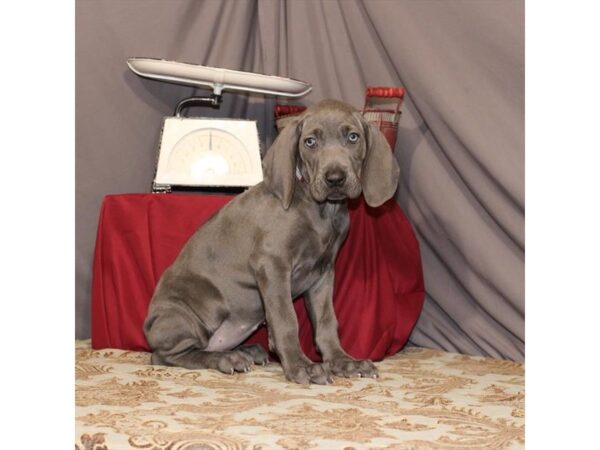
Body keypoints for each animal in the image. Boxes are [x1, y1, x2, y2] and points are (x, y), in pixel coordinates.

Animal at [143, 99, 400, 384]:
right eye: (310, 142)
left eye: (353, 137)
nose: (335, 179)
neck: (322, 211)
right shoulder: (272, 264)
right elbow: (286, 319)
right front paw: (302, 366)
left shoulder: (323, 273)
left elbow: (326, 321)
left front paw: (342, 361)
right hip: (195, 309)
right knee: (168, 356)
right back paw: (226, 358)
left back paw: (246, 351)